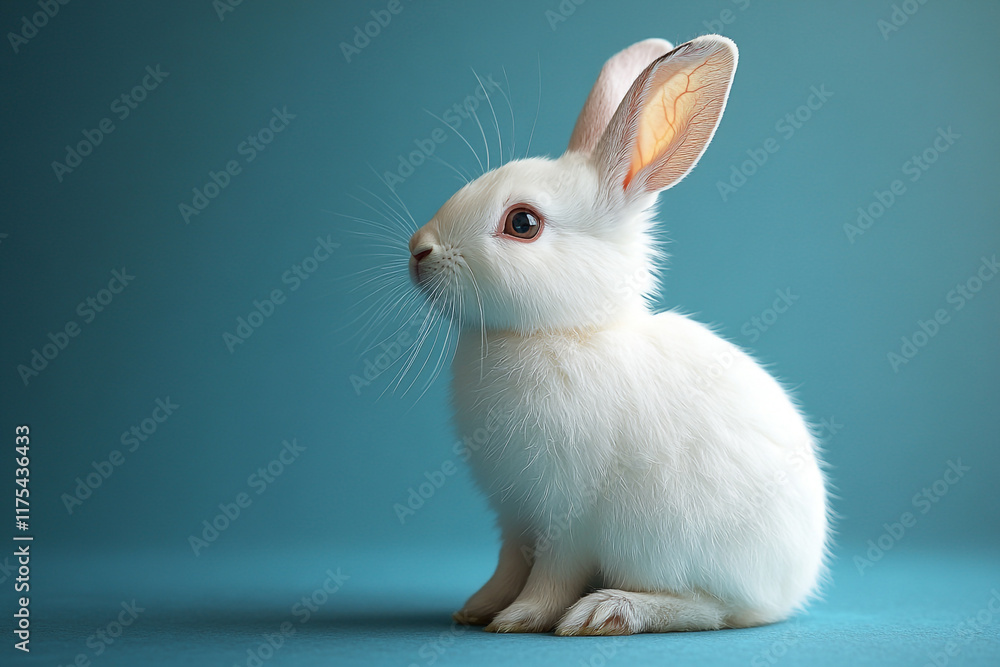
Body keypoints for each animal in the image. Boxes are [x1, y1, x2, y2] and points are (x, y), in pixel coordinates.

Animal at [405, 35, 830, 635]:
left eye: (522, 224)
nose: (418, 251)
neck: (565, 330)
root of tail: (794, 585)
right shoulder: (515, 514)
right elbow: (509, 564)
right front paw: (479, 608)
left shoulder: (567, 514)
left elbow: (551, 574)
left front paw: (521, 619)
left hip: (671, 546)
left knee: (711, 609)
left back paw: (607, 611)